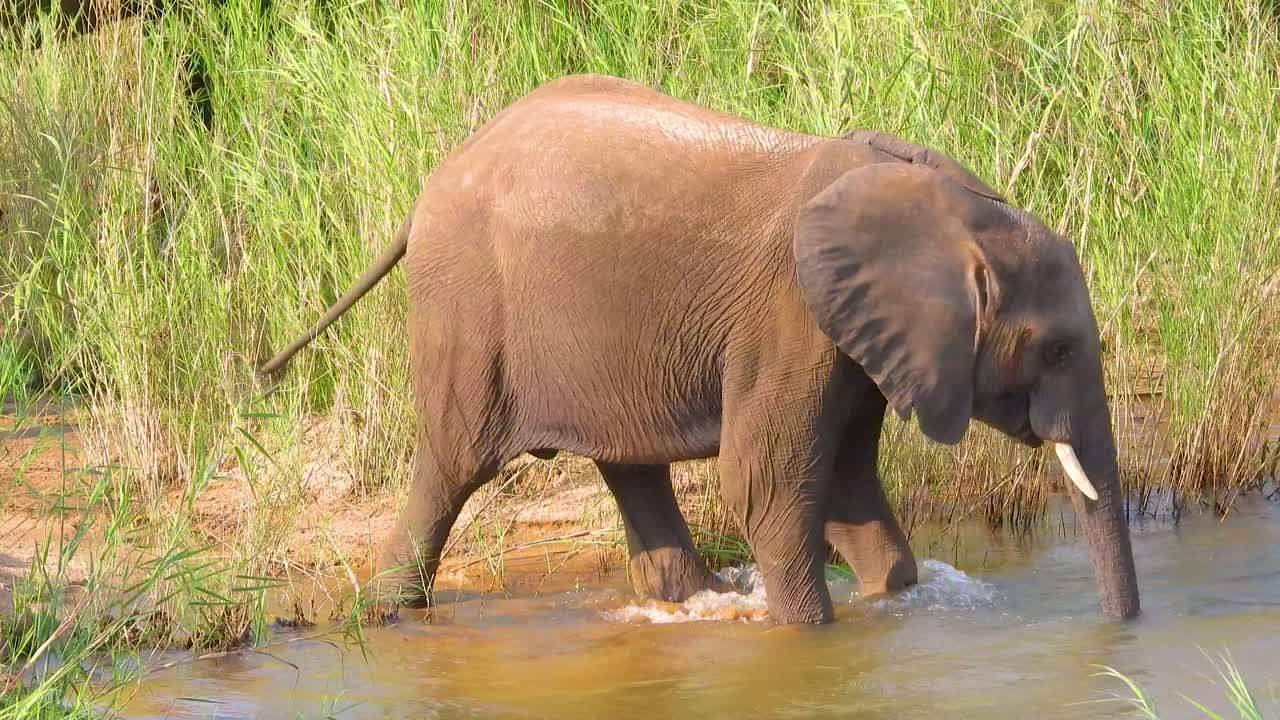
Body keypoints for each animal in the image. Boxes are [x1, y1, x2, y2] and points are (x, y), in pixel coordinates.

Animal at [258, 73, 1140, 624]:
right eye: (1057, 351)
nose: (1119, 634)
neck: (956, 207)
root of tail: (435, 182)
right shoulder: (790, 318)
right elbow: (766, 480)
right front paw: (806, 636)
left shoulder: (854, 338)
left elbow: (851, 488)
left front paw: (886, 601)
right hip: (469, 304)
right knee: (454, 461)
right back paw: (389, 615)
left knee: (626, 458)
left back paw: (690, 600)